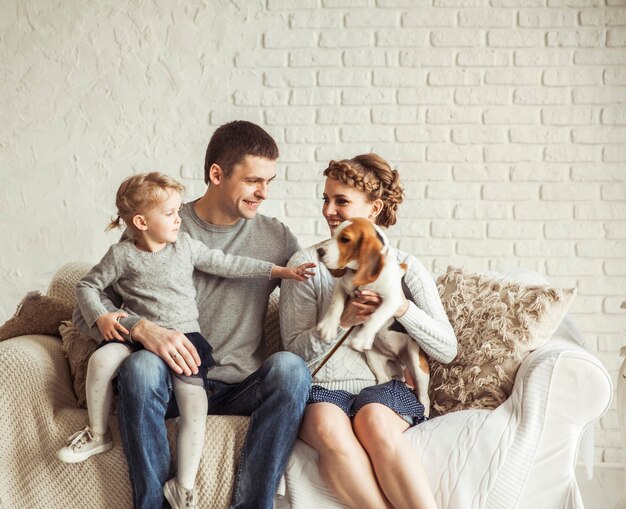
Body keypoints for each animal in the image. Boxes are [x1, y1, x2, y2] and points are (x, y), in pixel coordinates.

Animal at [316, 216, 428, 414]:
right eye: (334, 233)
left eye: (344, 239)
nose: (319, 251)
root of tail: (397, 358)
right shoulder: (342, 287)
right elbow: (335, 305)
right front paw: (328, 327)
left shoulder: (393, 300)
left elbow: (376, 317)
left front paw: (363, 337)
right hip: (374, 358)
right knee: (383, 379)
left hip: (417, 363)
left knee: (424, 397)